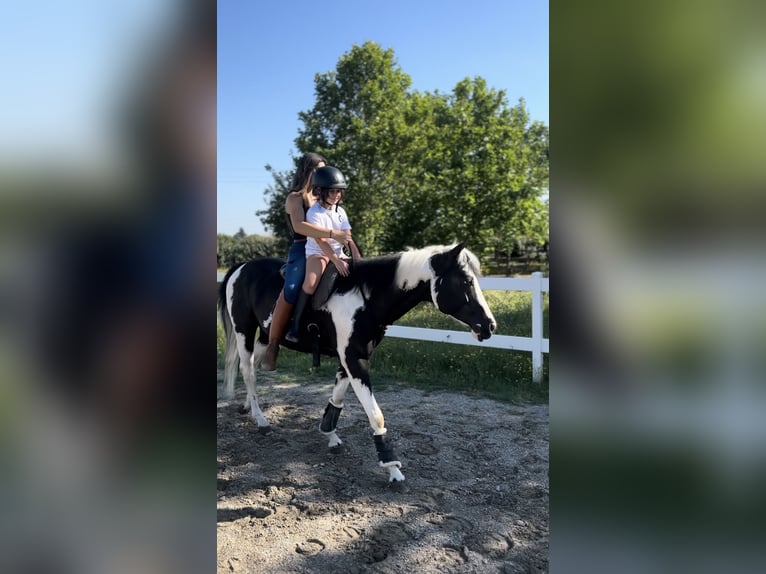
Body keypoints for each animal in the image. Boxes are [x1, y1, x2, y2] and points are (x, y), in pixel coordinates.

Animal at [217, 243, 497, 482]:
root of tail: (241, 267)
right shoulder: (355, 359)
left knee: (252, 366)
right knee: (248, 371)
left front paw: (329, 433)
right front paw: (393, 469)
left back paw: (247, 406)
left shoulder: (350, 359)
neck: (365, 298)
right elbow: (376, 415)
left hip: (266, 336)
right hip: (244, 330)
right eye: (466, 281)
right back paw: (260, 419)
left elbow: (337, 397)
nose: (489, 326)